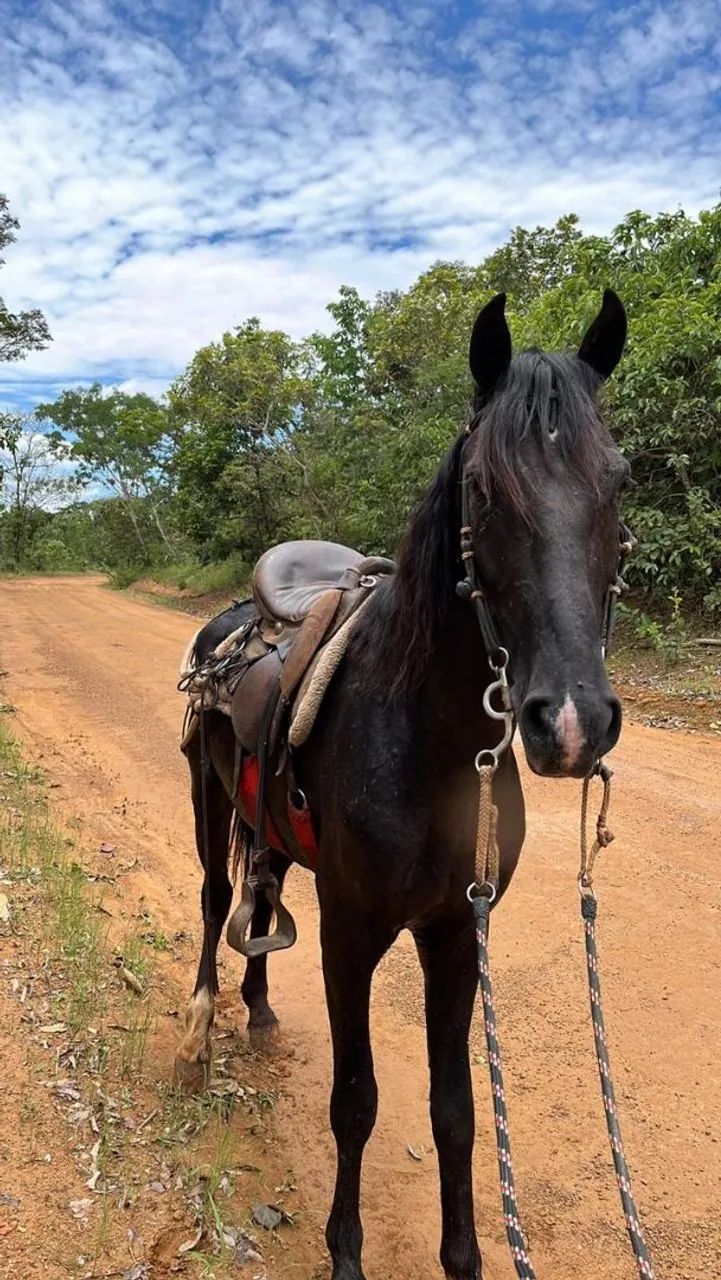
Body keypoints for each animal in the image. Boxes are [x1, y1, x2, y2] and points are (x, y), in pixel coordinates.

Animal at [174, 288, 630, 1280]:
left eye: (616, 480)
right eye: (485, 491)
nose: (572, 722)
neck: (428, 740)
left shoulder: (456, 931)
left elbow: (455, 1112)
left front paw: (463, 1256)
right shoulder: (349, 931)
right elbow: (356, 1101)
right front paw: (345, 1253)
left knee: (260, 888)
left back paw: (256, 1007)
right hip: (206, 797)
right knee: (215, 895)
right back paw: (201, 1021)